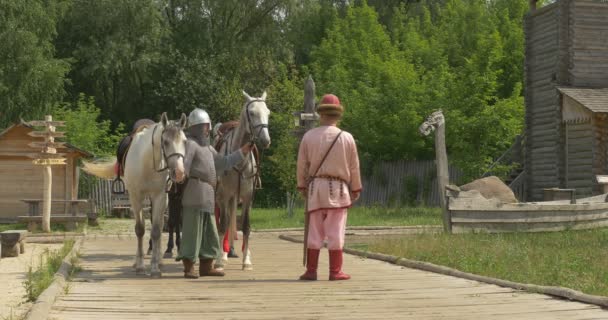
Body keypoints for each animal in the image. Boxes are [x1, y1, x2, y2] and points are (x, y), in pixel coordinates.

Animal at [83, 113, 186, 278]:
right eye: (165, 142)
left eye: (184, 141)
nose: (179, 173)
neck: (147, 162)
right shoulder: (136, 197)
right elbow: (140, 229)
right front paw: (140, 266)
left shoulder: (159, 196)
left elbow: (156, 231)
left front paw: (155, 268)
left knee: (161, 225)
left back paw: (160, 260)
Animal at [215, 90, 270, 270]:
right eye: (252, 113)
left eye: (268, 113)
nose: (266, 140)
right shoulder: (224, 196)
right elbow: (223, 224)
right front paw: (219, 260)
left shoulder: (247, 197)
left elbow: (246, 226)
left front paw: (246, 260)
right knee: (224, 222)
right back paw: (224, 254)